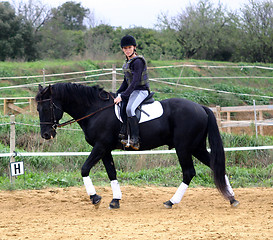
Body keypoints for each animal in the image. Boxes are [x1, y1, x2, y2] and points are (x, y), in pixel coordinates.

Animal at [35, 82, 238, 208]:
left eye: (46, 107)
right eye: (37, 108)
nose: (46, 134)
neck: (95, 110)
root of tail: (201, 107)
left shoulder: (100, 146)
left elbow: (84, 169)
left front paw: (95, 198)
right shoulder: (105, 149)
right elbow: (112, 173)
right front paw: (115, 200)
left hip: (184, 148)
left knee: (189, 172)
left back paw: (171, 202)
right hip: (197, 147)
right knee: (216, 166)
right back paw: (232, 199)